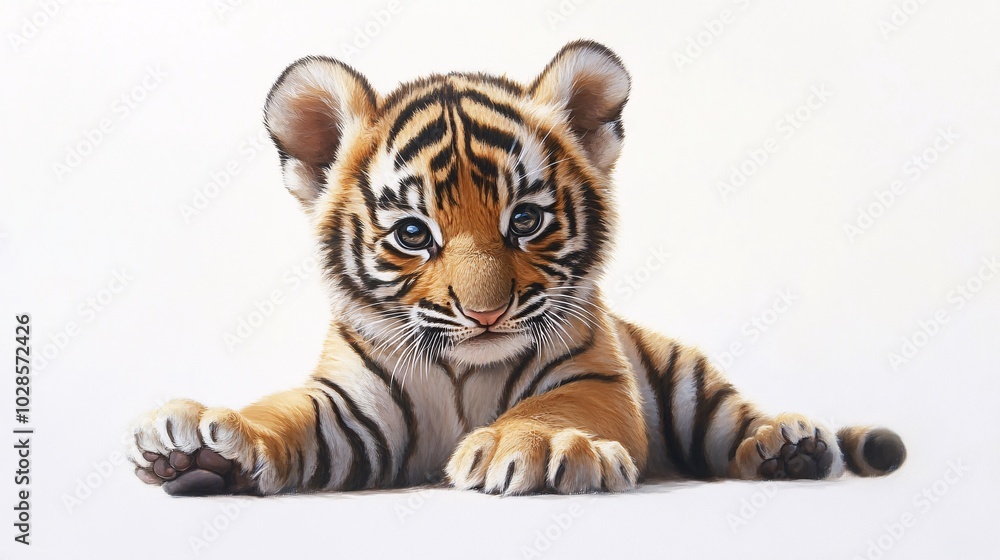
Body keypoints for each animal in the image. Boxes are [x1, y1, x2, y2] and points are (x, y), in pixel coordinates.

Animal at [128, 40, 906, 496]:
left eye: (524, 221)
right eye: (413, 233)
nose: (485, 313)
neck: (463, 374)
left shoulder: (596, 381)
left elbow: (554, 407)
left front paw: (533, 443)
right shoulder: (351, 410)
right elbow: (280, 411)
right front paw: (200, 443)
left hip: (691, 382)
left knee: (735, 424)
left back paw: (788, 448)